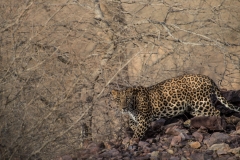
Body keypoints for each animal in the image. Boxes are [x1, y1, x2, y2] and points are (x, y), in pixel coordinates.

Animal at [111, 74, 239, 141]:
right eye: (118, 100)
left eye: (127, 100)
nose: (123, 108)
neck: (133, 105)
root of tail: (207, 77)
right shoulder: (136, 118)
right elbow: (131, 124)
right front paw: (134, 129)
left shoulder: (144, 119)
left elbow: (138, 132)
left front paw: (132, 142)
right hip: (193, 107)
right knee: (200, 115)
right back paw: (188, 122)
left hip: (201, 102)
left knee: (215, 112)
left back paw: (216, 126)